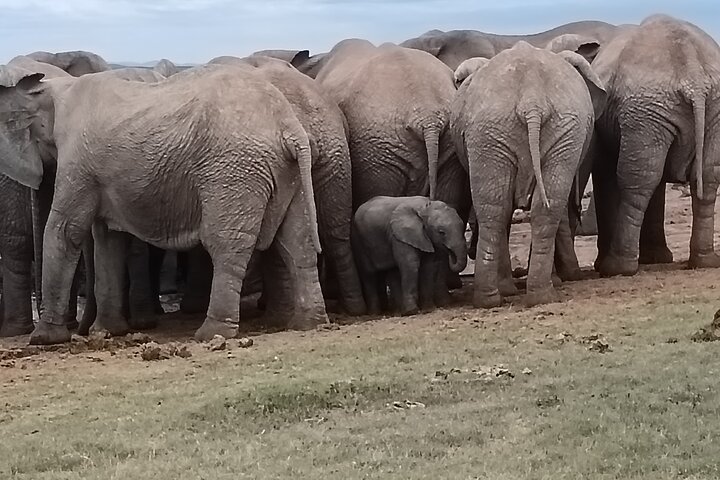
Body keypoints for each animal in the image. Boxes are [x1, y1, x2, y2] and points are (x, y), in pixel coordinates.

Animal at [0, 62, 327, 345]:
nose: (78, 329)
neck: (55, 89)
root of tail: (288, 127)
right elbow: (108, 239)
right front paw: (107, 332)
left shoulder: (77, 160)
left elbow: (65, 231)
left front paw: (43, 339)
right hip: (287, 171)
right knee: (297, 242)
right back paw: (309, 323)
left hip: (234, 169)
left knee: (225, 244)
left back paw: (212, 333)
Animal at [451, 41, 607, 308]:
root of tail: (531, 101)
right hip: (504, 129)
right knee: (521, 208)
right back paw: (527, 294)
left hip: (504, 129)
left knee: (499, 209)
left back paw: (509, 297)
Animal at [589, 14, 720, 277]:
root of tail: (693, 74)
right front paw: (656, 259)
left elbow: (605, 173)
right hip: (689, 108)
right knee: (705, 177)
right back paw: (705, 261)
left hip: (647, 108)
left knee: (636, 181)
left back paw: (616, 267)